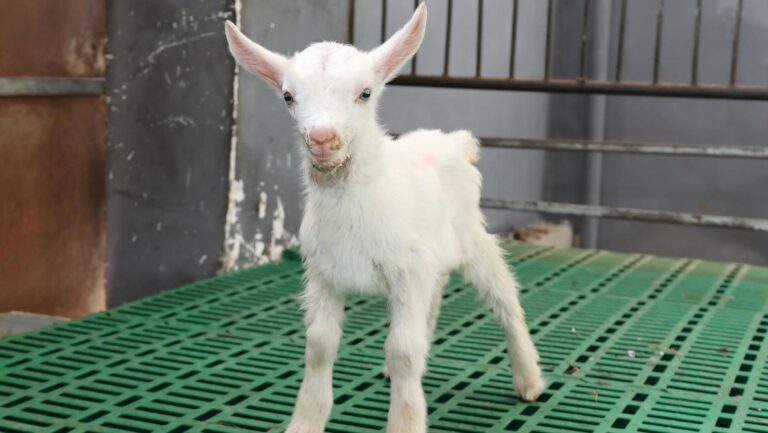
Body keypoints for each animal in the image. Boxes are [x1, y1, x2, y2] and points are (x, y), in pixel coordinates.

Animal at [225, 4, 543, 432]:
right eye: (289, 96)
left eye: (365, 93)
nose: (322, 139)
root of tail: (454, 141)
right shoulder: (324, 275)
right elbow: (320, 344)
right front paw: (306, 421)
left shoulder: (408, 273)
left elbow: (403, 349)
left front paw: (406, 421)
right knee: (435, 298)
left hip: (473, 239)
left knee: (505, 300)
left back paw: (529, 380)